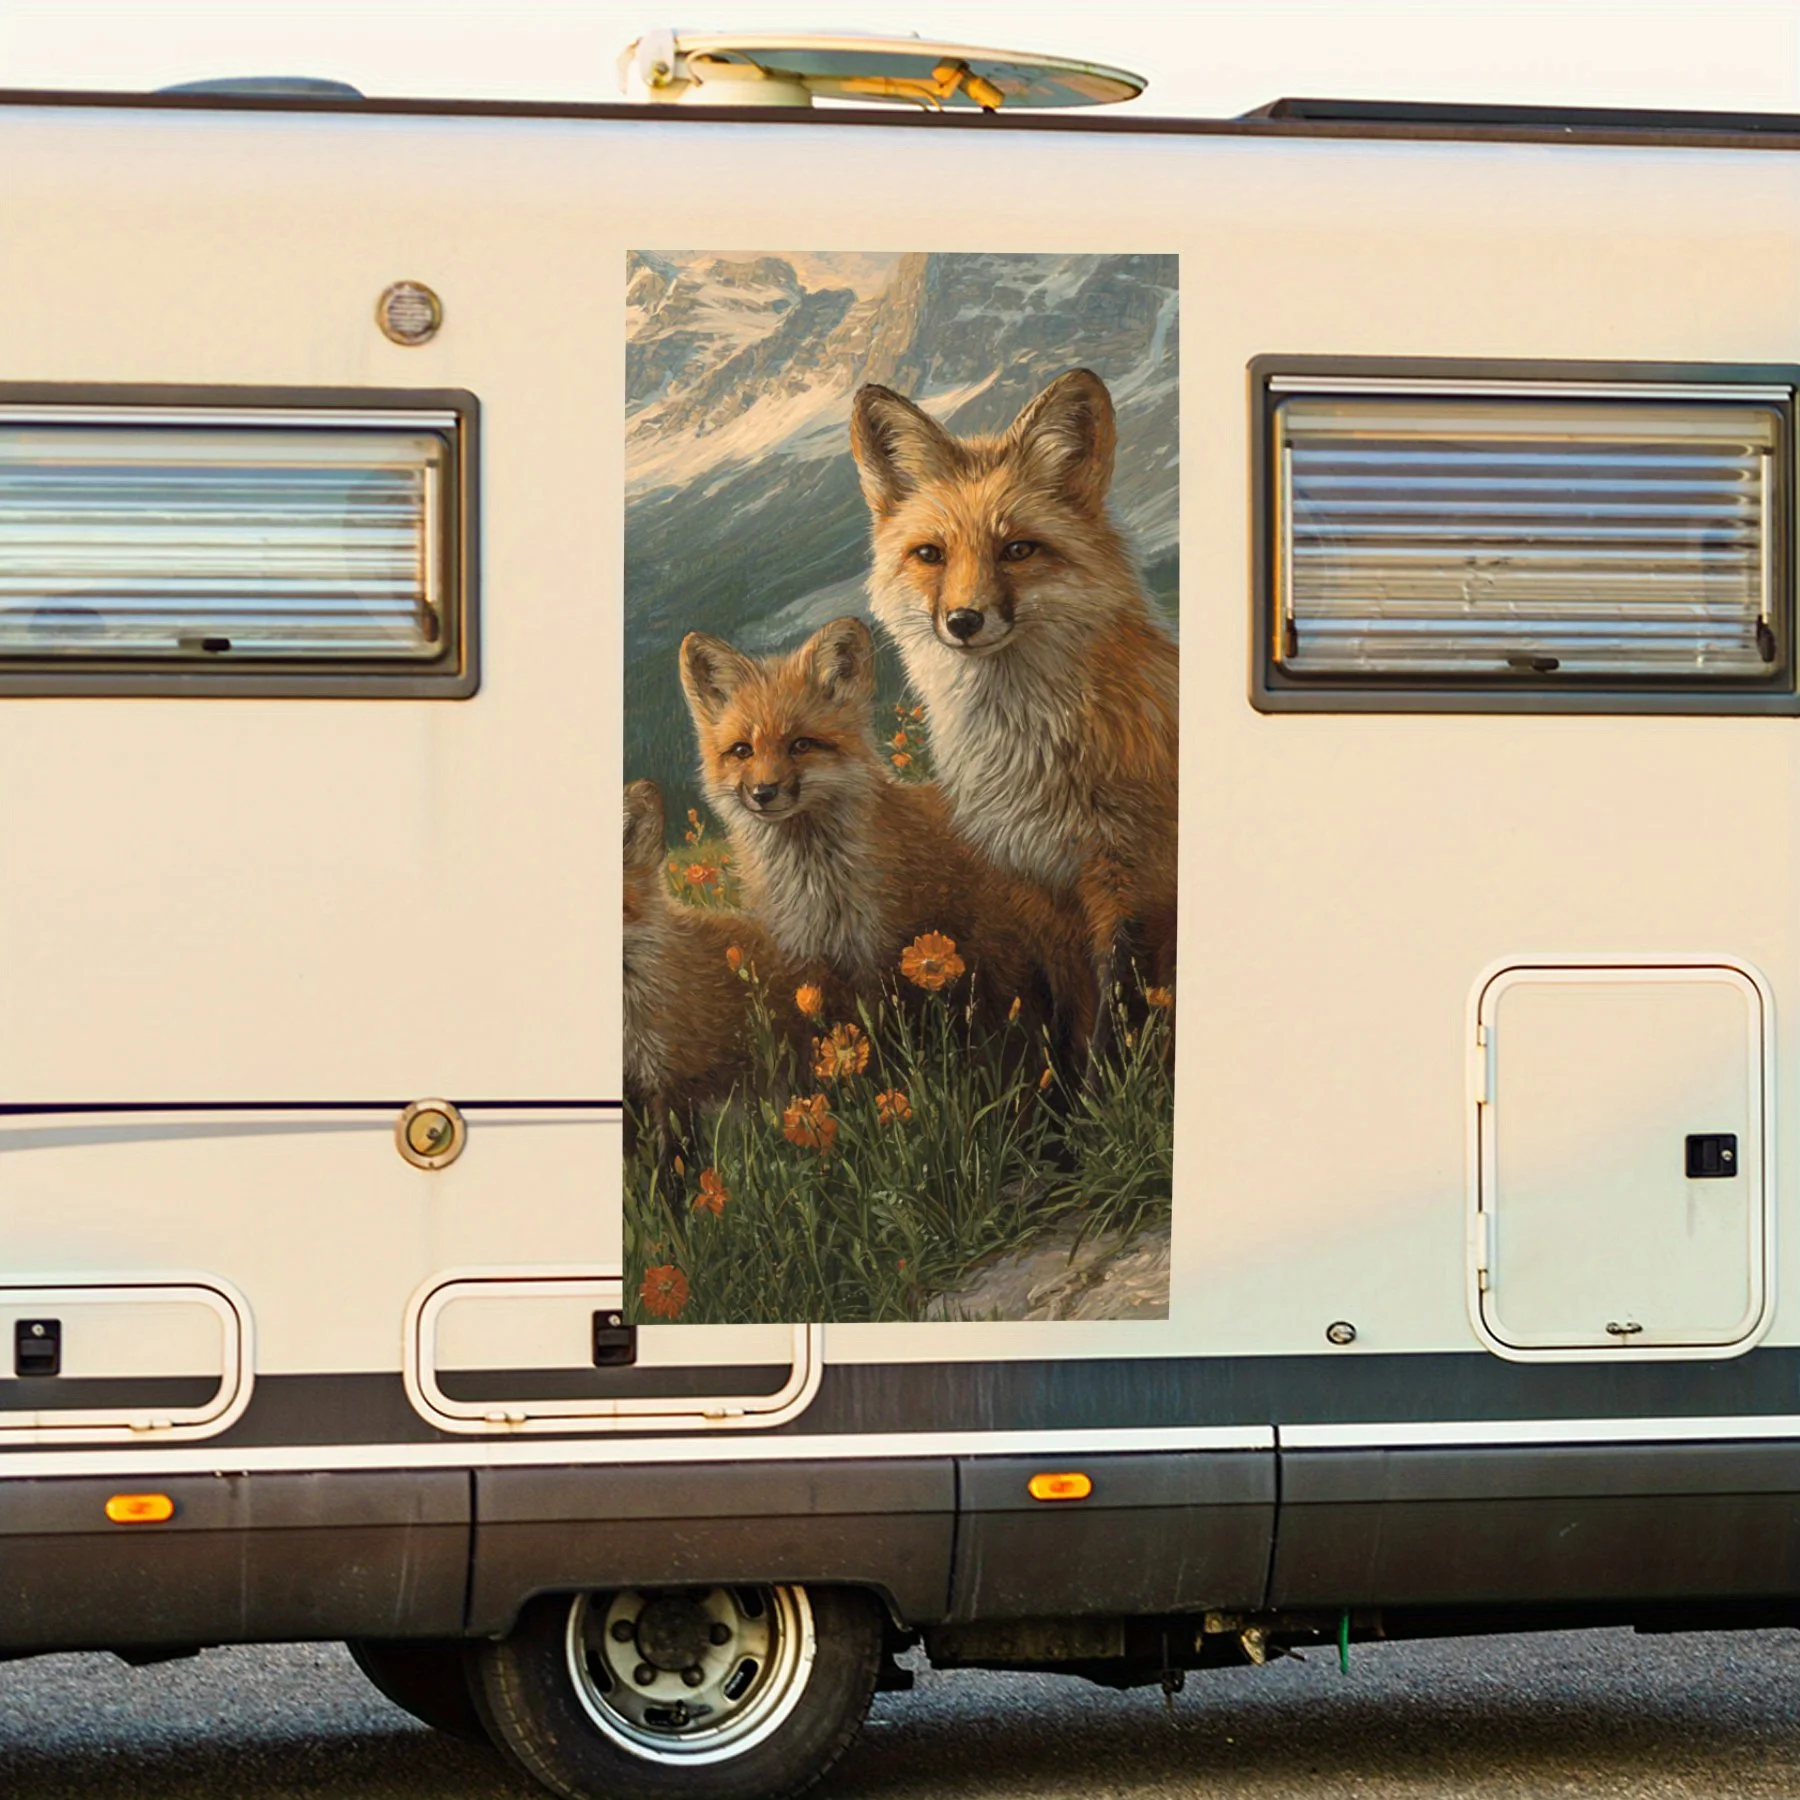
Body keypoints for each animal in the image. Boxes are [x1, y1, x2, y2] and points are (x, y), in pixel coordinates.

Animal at [678, 615, 1089, 1048]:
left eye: (801, 745)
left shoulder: (879, 962)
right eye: (743, 751)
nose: (763, 793)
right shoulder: (811, 966)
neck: (818, 892)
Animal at [849, 367, 1180, 1070]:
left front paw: (1105, 1095)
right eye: (931, 555)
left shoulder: (1132, 886)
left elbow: (1113, 1031)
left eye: (1018, 549)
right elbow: (1071, 1023)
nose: (963, 621)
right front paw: (1067, 1100)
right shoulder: (1035, 890)